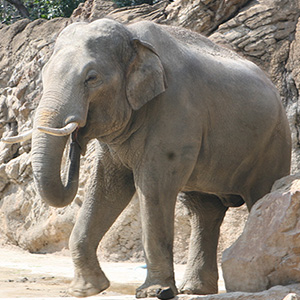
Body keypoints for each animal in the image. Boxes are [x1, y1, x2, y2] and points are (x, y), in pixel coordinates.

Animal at [3, 18, 290, 298]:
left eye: (91, 78)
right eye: (43, 75)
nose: (77, 141)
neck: (132, 35)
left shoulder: (175, 109)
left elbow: (152, 188)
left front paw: (155, 292)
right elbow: (107, 187)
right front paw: (85, 289)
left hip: (274, 141)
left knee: (261, 196)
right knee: (204, 210)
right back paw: (194, 290)